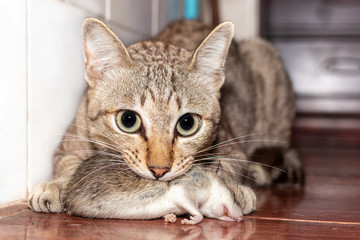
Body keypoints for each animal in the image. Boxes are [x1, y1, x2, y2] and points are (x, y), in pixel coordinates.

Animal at [28, 19, 304, 214]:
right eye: (128, 120)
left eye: (187, 124)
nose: (159, 170)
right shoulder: (69, 144)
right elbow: (68, 165)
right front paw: (56, 185)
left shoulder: (231, 146)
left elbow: (228, 167)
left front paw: (230, 189)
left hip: (264, 58)